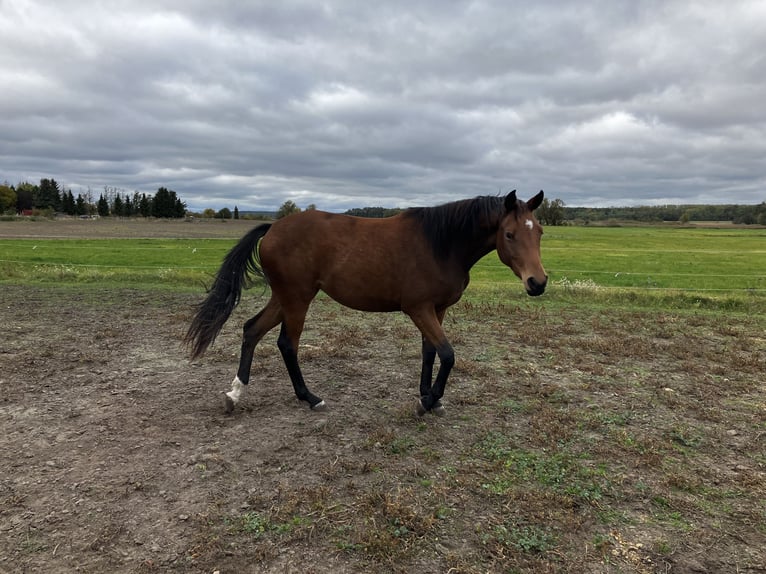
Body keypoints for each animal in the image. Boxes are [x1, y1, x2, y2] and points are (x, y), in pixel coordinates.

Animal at [184, 191, 548, 416]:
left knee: (251, 330)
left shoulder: (437, 309)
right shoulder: (419, 309)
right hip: (297, 298)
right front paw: (428, 401)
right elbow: (447, 354)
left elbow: (430, 353)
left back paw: (235, 393)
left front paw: (428, 397)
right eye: (510, 234)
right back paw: (310, 398)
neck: (441, 244)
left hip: (284, 298)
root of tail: (274, 226)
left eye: (540, 232)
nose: (538, 282)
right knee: (287, 343)